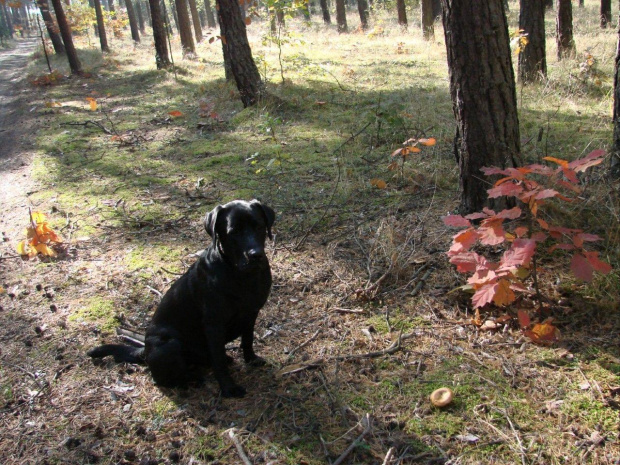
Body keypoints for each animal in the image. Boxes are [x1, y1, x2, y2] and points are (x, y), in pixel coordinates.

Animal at [87, 198, 274, 396]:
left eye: (259, 226)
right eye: (234, 232)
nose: (255, 255)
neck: (243, 277)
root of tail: (145, 350)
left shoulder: (251, 313)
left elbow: (247, 340)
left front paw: (251, 359)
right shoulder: (214, 324)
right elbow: (219, 360)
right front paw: (228, 388)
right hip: (171, 345)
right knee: (164, 378)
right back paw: (194, 378)